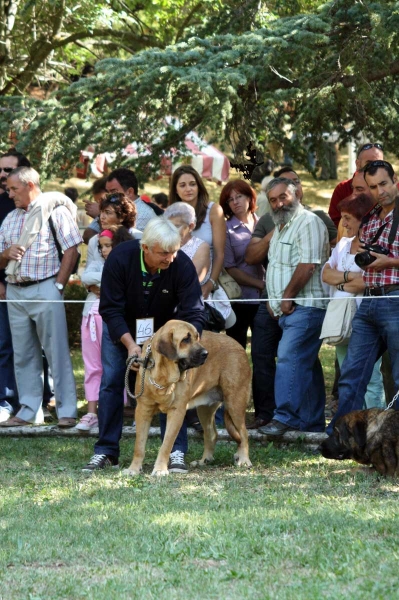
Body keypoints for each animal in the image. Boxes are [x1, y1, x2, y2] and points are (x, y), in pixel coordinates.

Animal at [125, 322, 252, 476]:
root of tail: (239, 346)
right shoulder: (143, 410)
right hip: (205, 410)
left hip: (235, 403)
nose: (206, 354)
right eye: (185, 339)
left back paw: (244, 460)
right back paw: (205, 460)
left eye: (197, 337)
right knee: (212, 434)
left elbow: (166, 444)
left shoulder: (177, 412)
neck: (164, 375)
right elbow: (139, 445)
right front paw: (133, 468)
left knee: (244, 433)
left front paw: (160, 469)